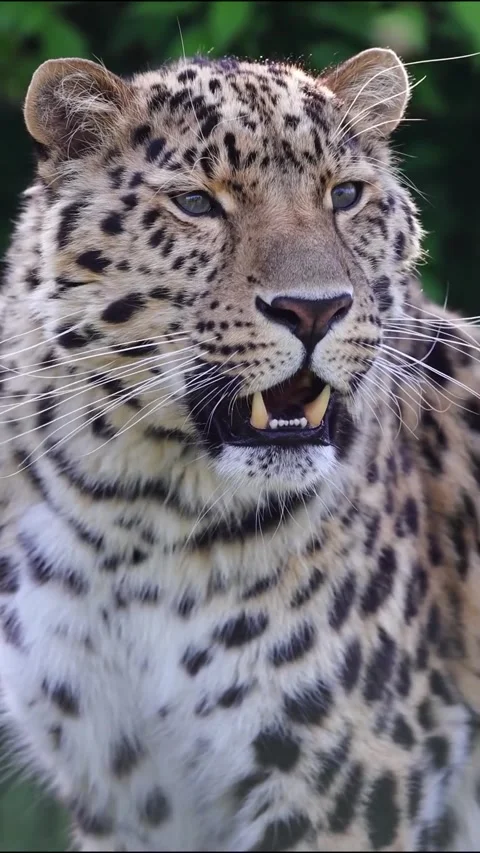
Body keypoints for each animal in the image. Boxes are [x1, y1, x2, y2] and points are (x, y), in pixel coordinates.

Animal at [0, 44, 479, 852]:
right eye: (197, 204)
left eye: (345, 195)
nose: (315, 310)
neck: (136, 522)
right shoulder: (119, 786)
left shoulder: (353, 778)